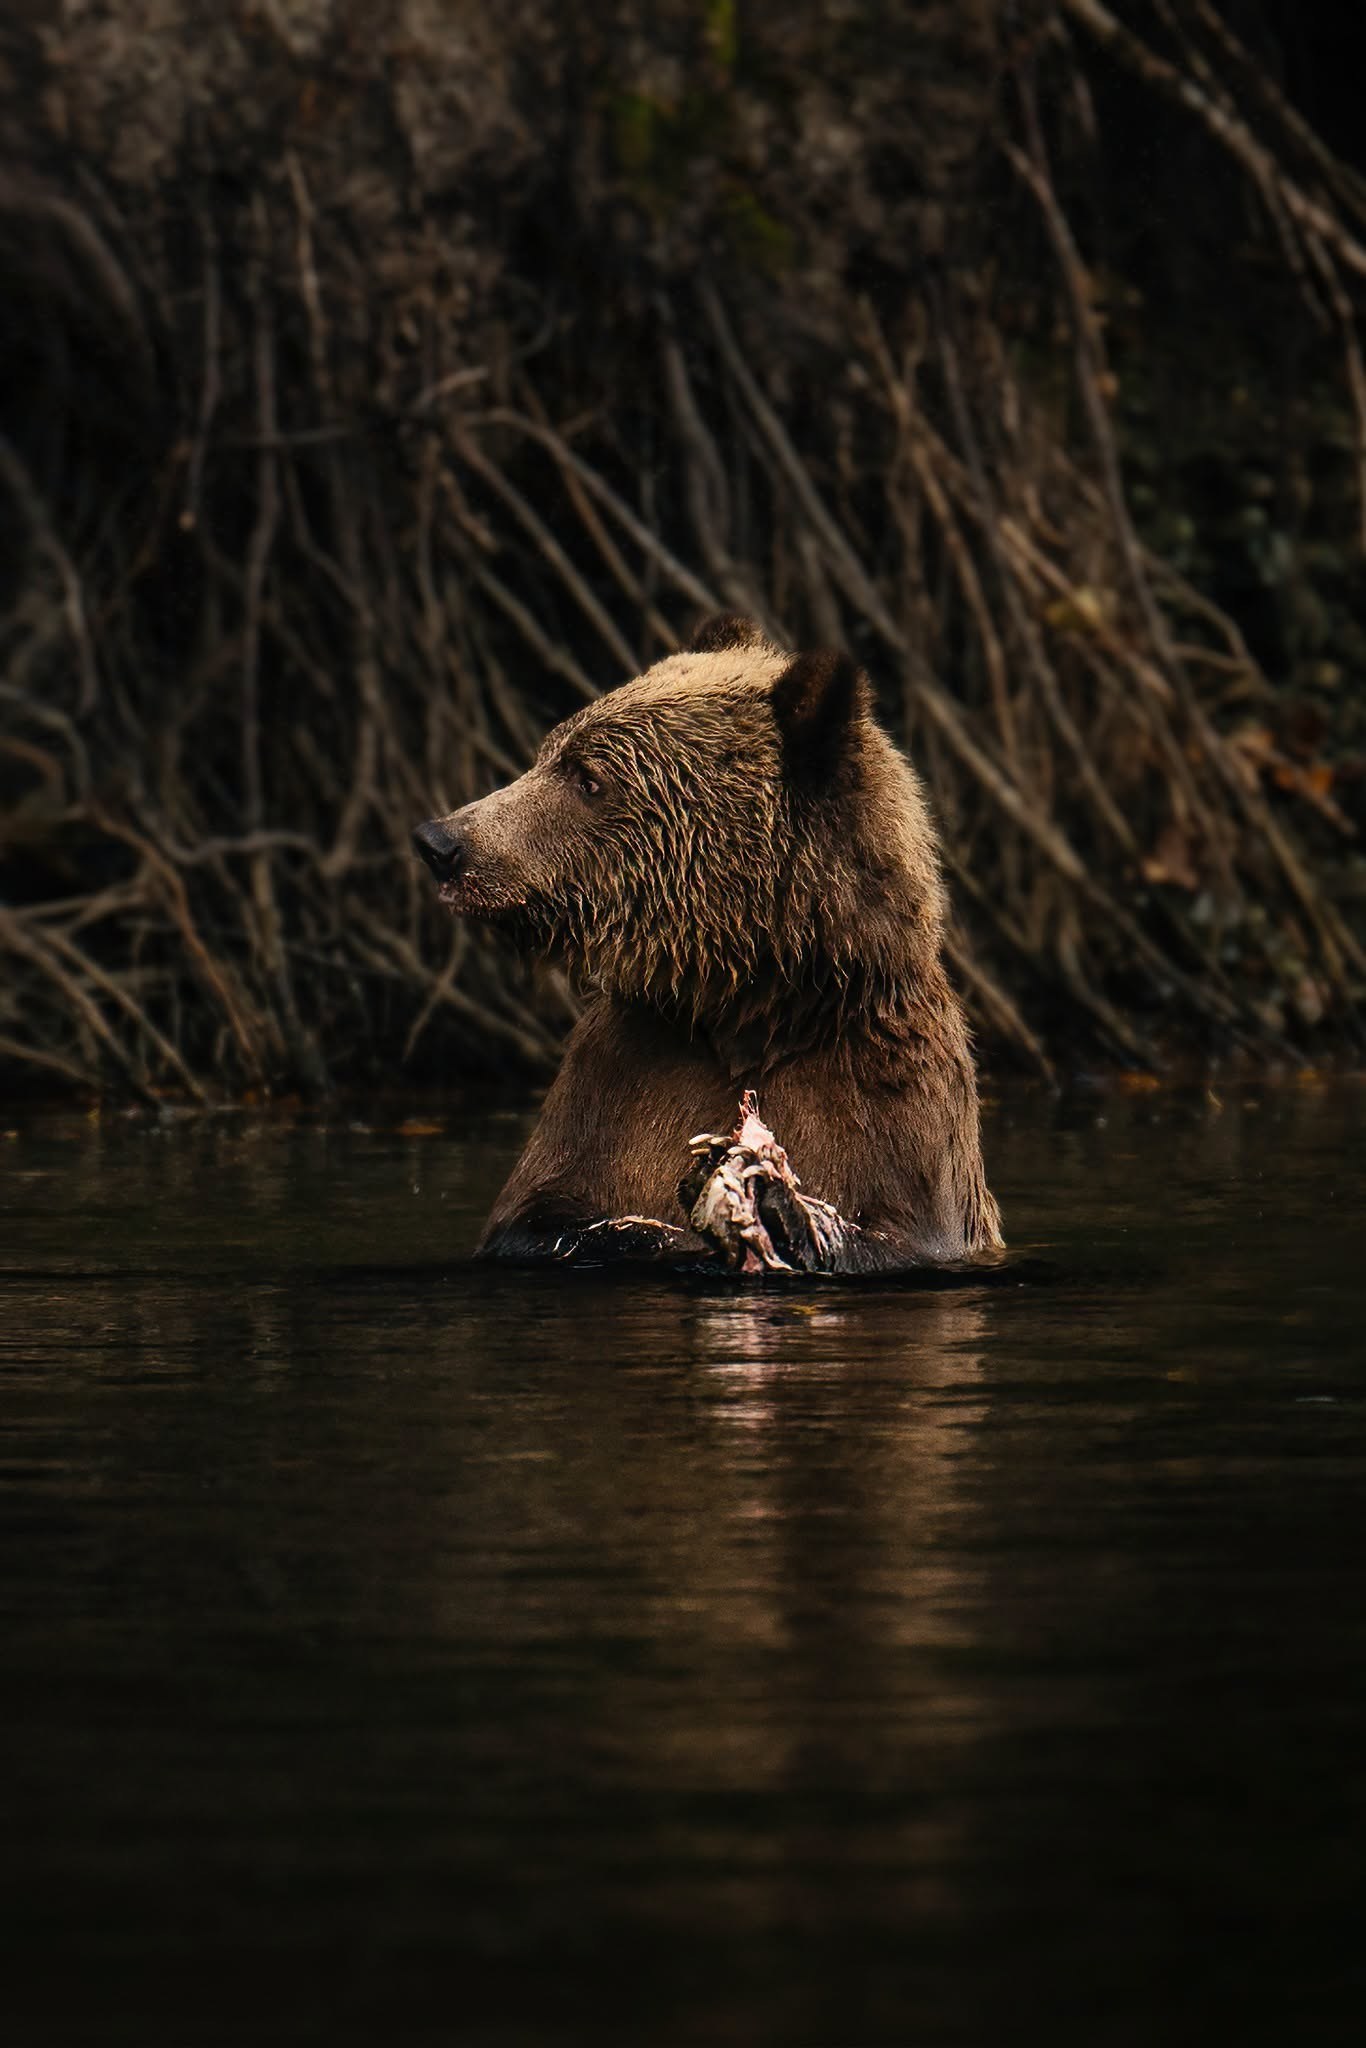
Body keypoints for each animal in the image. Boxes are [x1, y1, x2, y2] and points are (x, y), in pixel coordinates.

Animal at [412, 615, 1002, 1273]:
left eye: (589, 779)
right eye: (551, 754)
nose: (442, 842)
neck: (750, 1005)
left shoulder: (895, 1111)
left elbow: (896, 1234)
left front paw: (783, 1207)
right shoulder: (610, 1089)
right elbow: (537, 1217)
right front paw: (662, 1229)